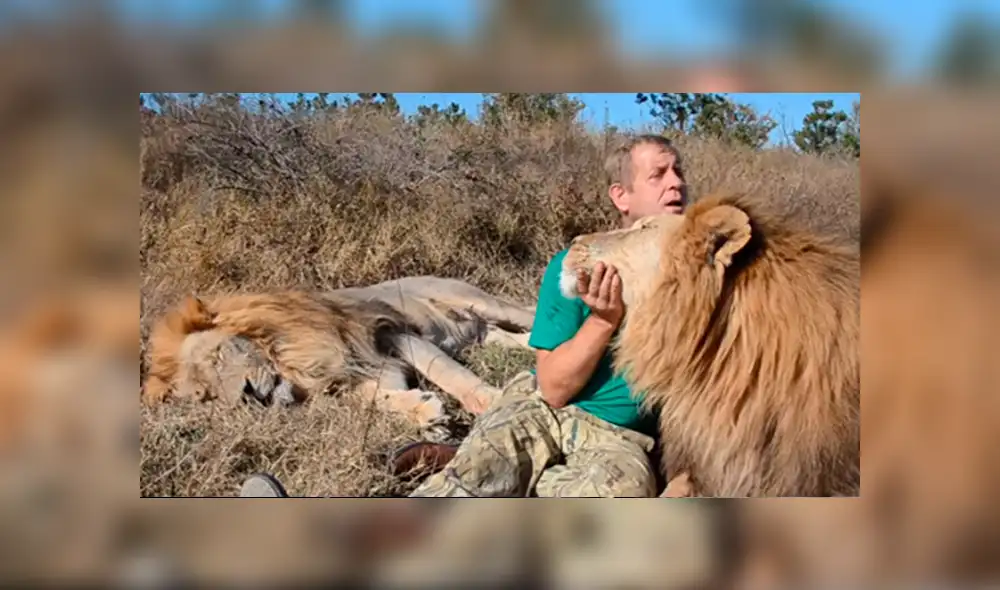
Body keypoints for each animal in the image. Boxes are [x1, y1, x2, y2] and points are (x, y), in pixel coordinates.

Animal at [141, 276, 535, 432]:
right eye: (206, 396)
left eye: (218, 356)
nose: (249, 395)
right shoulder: (354, 376)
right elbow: (378, 399)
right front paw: (425, 413)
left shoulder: (392, 332)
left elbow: (452, 375)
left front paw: (497, 402)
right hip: (485, 334)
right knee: (517, 337)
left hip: (482, 303)